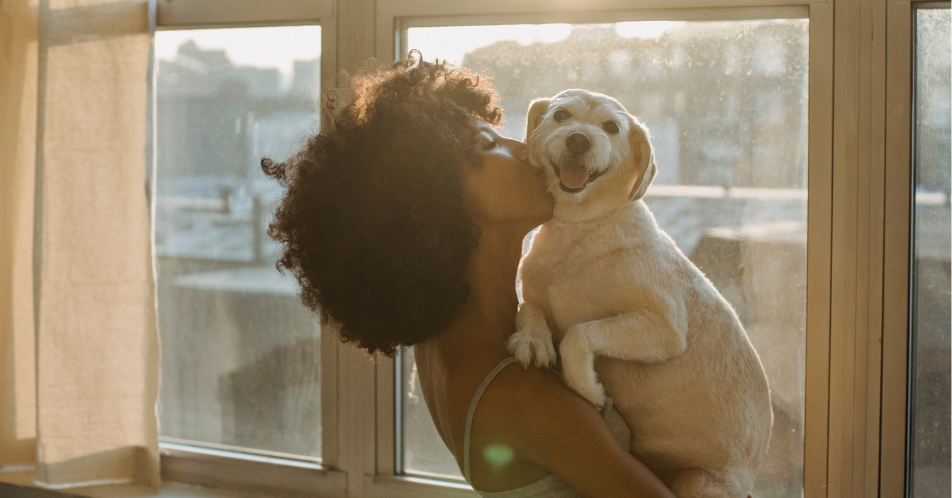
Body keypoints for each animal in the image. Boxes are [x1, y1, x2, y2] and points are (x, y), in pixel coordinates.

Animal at [506, 89, 772, 498]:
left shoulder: (663, 328)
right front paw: (533, 339)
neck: (581, 229)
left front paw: (587, 388)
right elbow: (530, 308)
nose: (579, 139)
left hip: (698, 481)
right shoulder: (536, 293)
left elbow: (579, 334)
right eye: (561, 115)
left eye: (611, 127)